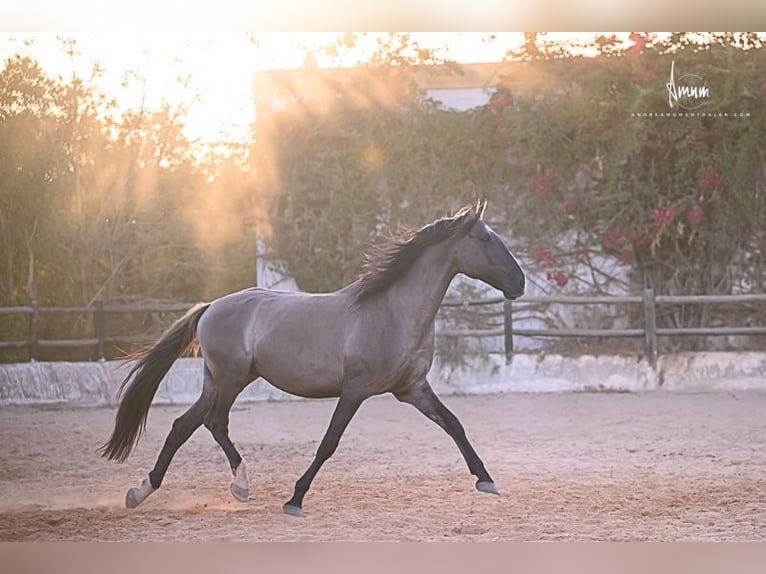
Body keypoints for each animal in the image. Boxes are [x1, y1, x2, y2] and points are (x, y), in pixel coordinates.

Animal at [100, 199, 525, 517]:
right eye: (485, 238)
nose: (519, 283)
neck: (392, 311)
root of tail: (210, 307)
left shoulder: (413, 389)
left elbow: (454, 425)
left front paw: (486, 480)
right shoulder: (355, 391)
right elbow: (329, 443)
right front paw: (295, 499)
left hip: (219, 379)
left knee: (184, 425)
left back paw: (141, 491)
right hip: (231, 378)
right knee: (213, 421)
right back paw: (240, 486)